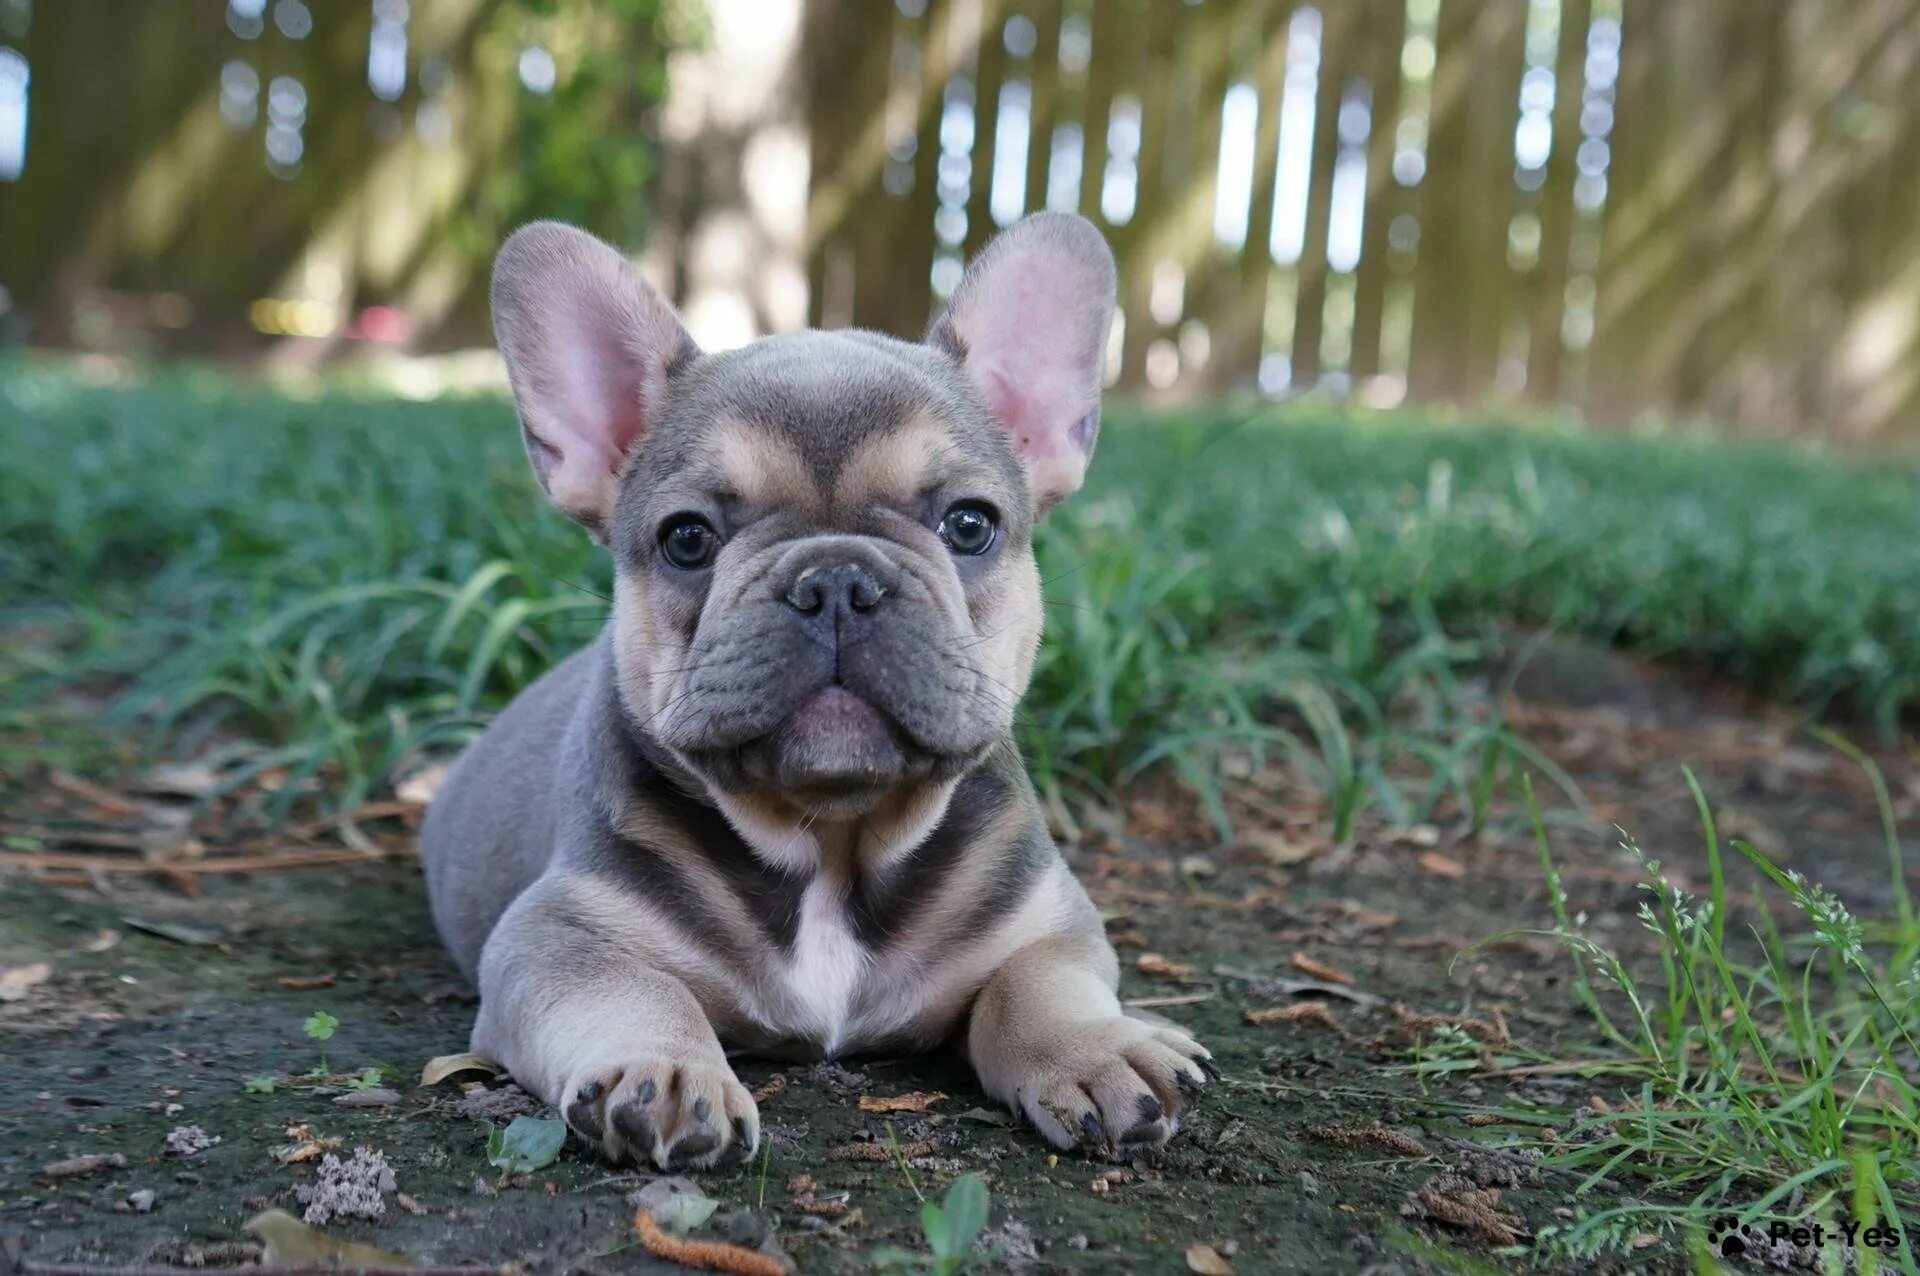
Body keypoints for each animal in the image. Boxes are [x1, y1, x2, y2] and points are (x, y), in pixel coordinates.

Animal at [420, 206, 1213, 1166]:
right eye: (687, 539)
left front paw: (1095, 1049)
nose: (836, 579)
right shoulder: (556, 934)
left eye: (970, 524)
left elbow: (1039, 980)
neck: (833, 844)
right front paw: (666, 1070)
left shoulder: (1048, 919)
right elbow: (634, 988)